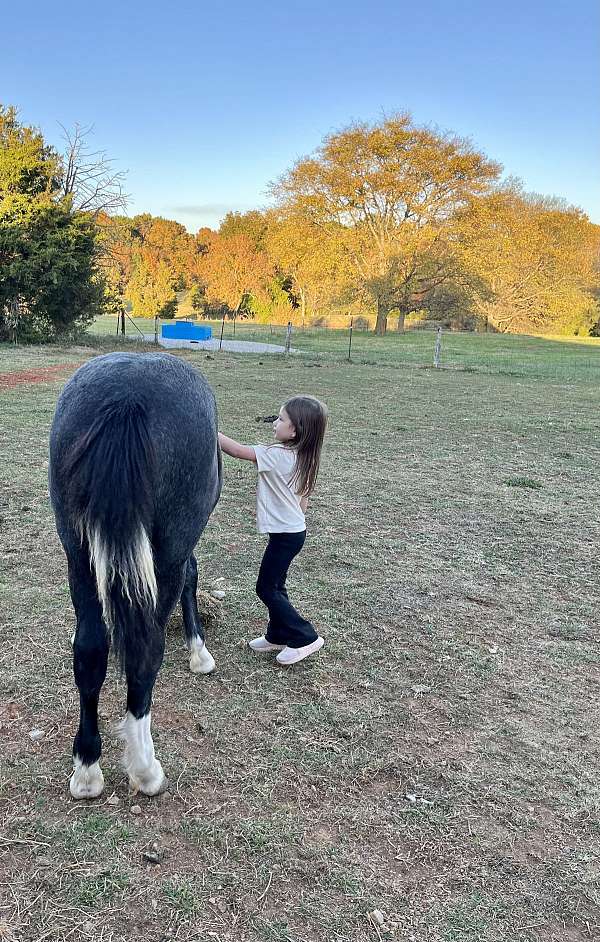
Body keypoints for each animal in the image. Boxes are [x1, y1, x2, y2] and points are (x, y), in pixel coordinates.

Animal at [49, 350, 221, 800]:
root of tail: (126, 397)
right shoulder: (178, 553)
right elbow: (192, 576)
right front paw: (198, 651)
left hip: (78, 554)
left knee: (90, 649)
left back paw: (87, 769)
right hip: (167, 550)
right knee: (146, 653)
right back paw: (145, 769)